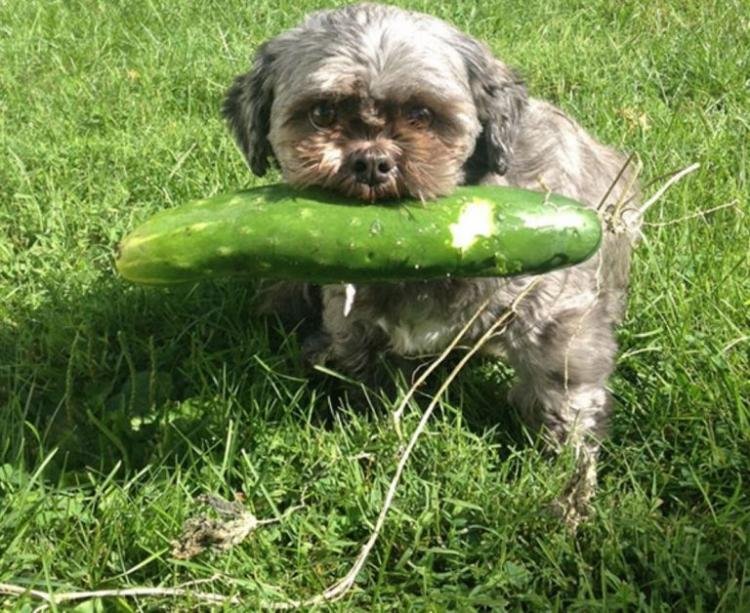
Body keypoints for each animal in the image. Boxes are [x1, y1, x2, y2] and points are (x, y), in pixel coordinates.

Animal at [222, 3, 640, 526]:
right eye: (322, 113)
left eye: (422, 114)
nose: (372, 161)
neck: (418, 267)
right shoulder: (350, 311)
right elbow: (362, 367)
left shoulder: (557, 318)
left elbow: (563, 392)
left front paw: (570, 474)